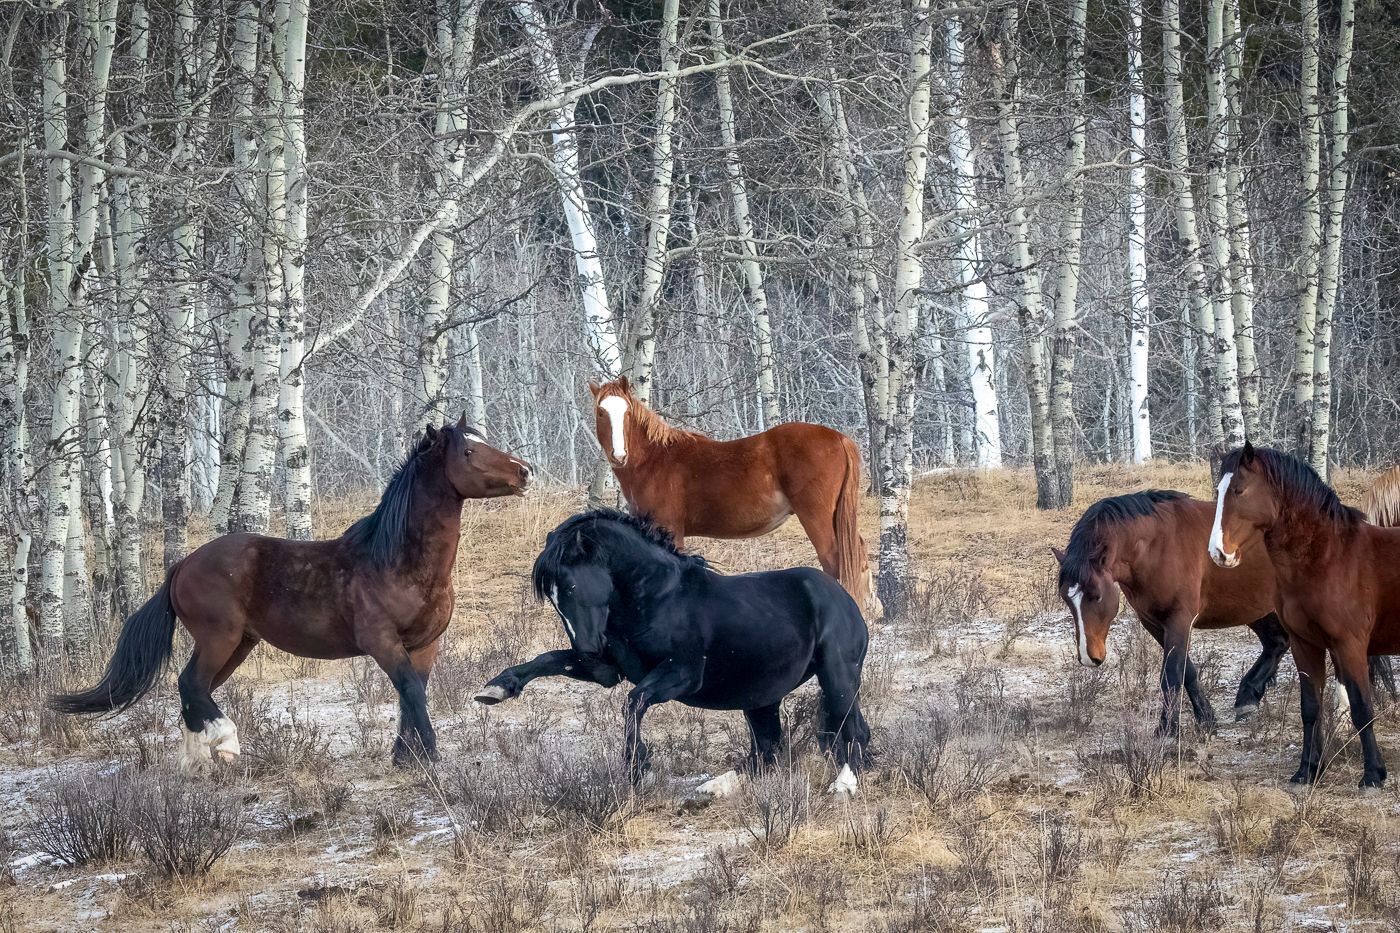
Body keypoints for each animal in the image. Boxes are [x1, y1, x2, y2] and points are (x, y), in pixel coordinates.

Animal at [50, 417, 532, 773]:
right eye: (468, 451)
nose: (524, 471)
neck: (397, 562)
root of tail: (181, 566)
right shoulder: (382, 643)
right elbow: (411, 691)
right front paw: (428, 756)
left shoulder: (425, 644)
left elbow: (411, 694)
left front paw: (405, 757)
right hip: (220, 638)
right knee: (191, 683)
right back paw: (226, 743)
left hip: (238, 645)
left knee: (190, 689)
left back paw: (197, 762)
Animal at [473, 509, 871, 794]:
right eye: (552, 597)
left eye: (571, 587)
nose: (588, 648)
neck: (657, 599)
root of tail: (844, 599)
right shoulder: (609, 671)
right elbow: (547, 660)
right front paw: (496, 688)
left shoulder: (682, 674)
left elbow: (634, 701)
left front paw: (639, 769)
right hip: (761, 699)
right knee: (769, 752)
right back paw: (712, 788)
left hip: (837, 675)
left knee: (849, 729)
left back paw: (844, 784)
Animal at [586, 378, 875, 615]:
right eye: (601, 412)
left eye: (626, 412)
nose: (619, 455)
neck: (655, 460)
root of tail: (838, 438)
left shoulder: (670, 529)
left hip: (817, 518)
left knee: (835, 561)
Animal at [1210, 442, 1400, 788]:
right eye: (1219, 491)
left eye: (1240, 490)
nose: (1219, 552)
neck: (1327, 558)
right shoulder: (1305, 644)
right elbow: (1310, 708)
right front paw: (1307, 771)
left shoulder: (1350, 646)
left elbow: (1361, 707)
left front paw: (1373, 775)